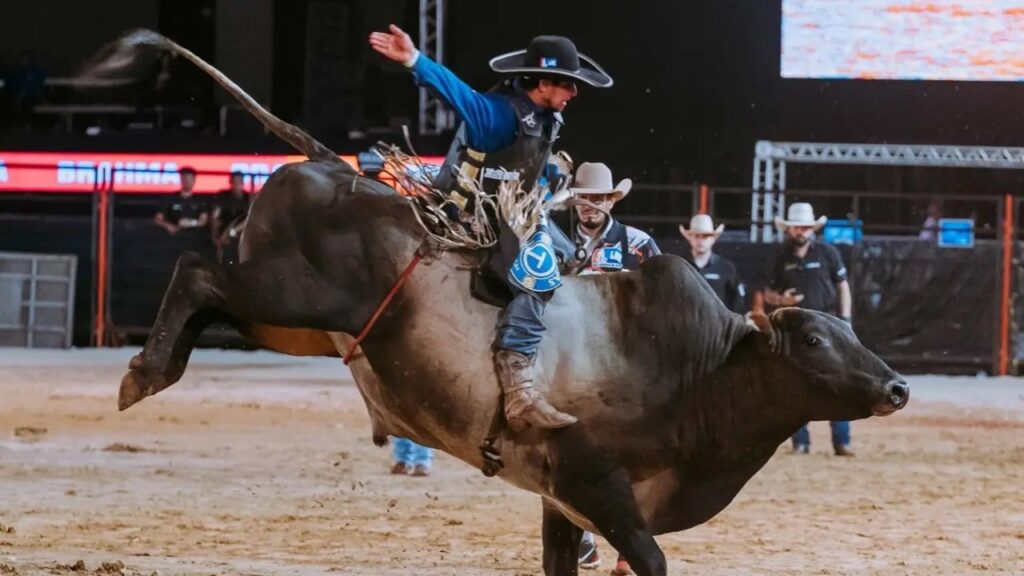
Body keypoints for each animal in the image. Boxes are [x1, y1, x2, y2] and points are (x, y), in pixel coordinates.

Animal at [94, 30, 913, 573]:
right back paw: (144, 373)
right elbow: (648, 560)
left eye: (850, 331)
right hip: (293, 295)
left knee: (207, 295)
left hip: (289, 321)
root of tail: (331, 165)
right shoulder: (596, 486)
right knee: (197, 271)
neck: (697, 372)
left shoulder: (561, 502)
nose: (898, 387)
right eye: (815, 342)